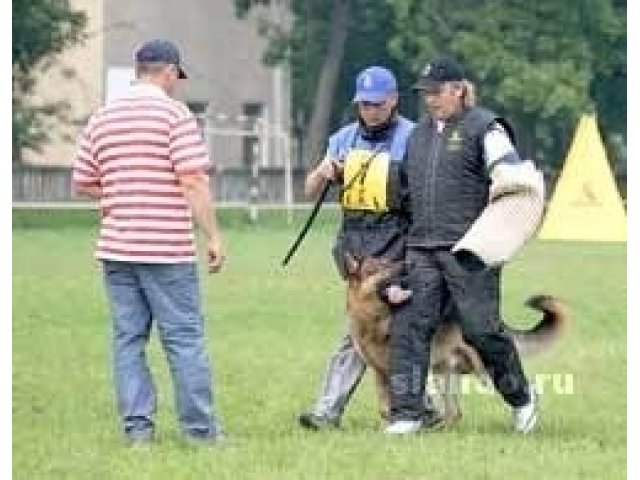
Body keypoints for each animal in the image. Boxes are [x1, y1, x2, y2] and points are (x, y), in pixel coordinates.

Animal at [344, 255, 568, 424]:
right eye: (381, 265)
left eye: (390, 260)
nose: (409, 264)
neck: (373, 319)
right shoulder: (380, 372)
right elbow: (384, 408)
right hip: (444, 372)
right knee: (454, 412)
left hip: (480, 365)